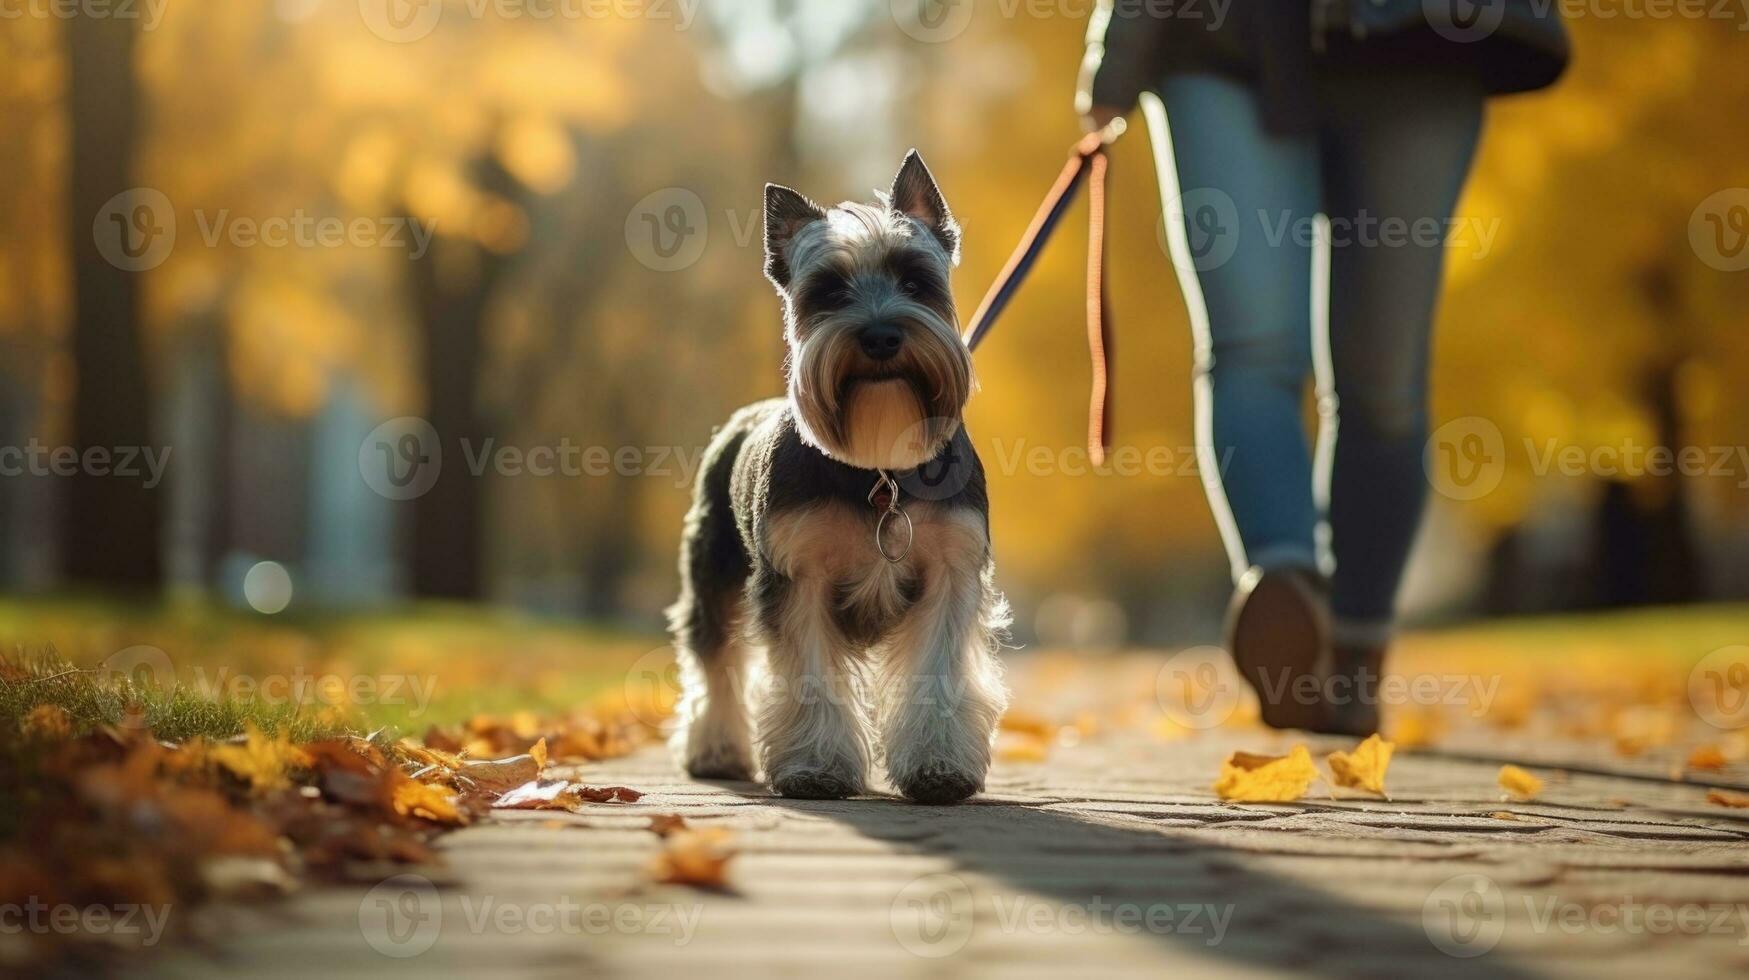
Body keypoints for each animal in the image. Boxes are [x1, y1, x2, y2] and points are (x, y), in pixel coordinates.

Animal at [661, 147, 1007, 805]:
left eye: (914, 280)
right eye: (827, 290)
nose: (880, 335)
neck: (881, 469)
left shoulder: (950, 573)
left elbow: (937, 674)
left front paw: (939, 765)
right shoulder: (798, 578)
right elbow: (809, 674)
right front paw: (815, 767)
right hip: (713, 579)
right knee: (716, 661)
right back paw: (715, 749)